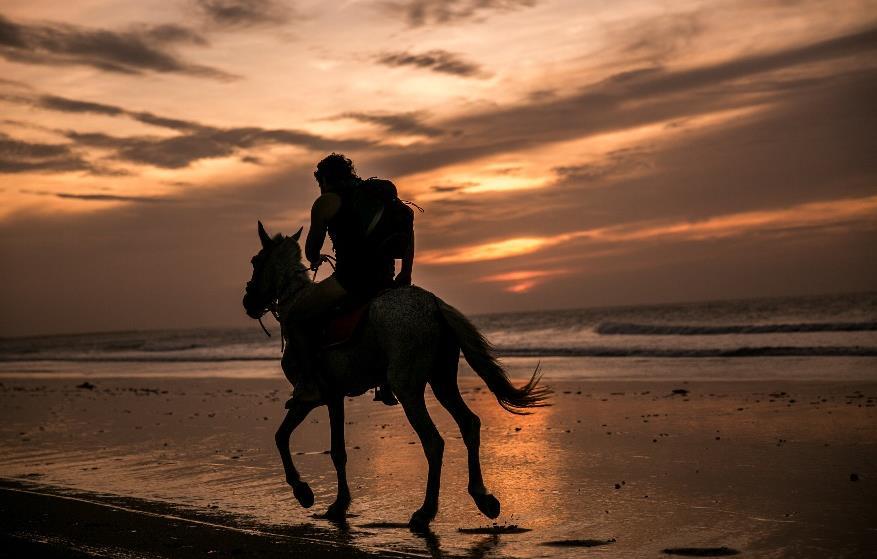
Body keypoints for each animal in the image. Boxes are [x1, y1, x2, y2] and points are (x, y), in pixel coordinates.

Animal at [240, 221, 552, 532]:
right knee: (469, 424)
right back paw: (483, 499)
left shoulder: (318, 396)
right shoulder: (330, 397)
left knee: (433, 442)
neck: (295, 301)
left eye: (255, 261)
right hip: (442, 381)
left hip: (408, 388)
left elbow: (312, 445)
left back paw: (425, 512)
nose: (248, 302)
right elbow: (296, 440)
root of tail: (433, 304)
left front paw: (311, 495)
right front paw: (325, 499)